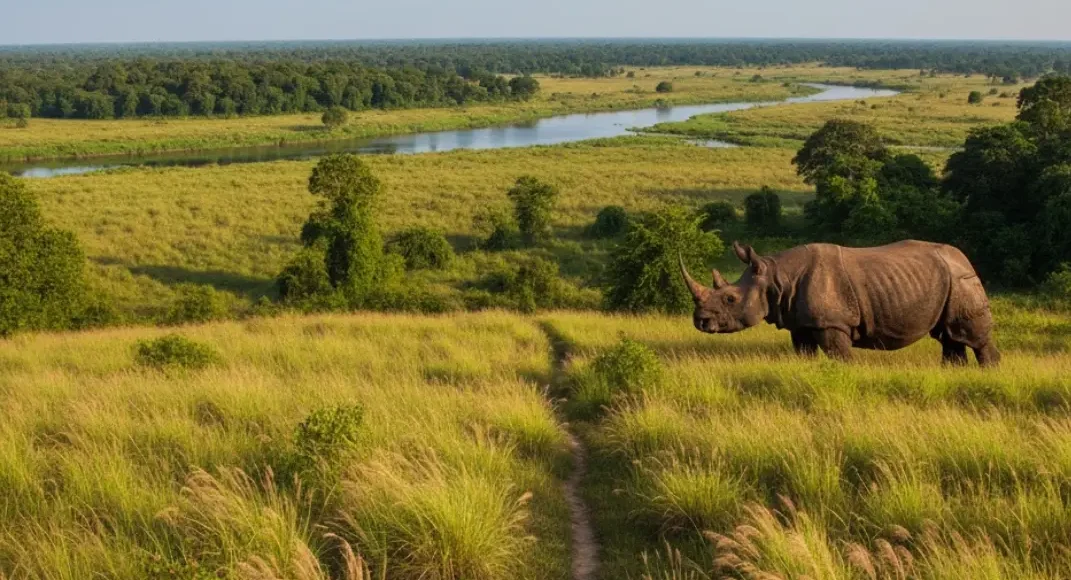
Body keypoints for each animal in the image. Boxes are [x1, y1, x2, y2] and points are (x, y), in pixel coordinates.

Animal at [680, 240, 1000, 366]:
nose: (700, 321)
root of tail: (966, 259)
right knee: (950, 337)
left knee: (972, 337)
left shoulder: (833, 323)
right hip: (949, 281)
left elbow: (840, 356)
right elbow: (804, 353)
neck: (776, 277)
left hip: (962, 281)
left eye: (730, 298)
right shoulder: (801, 323)